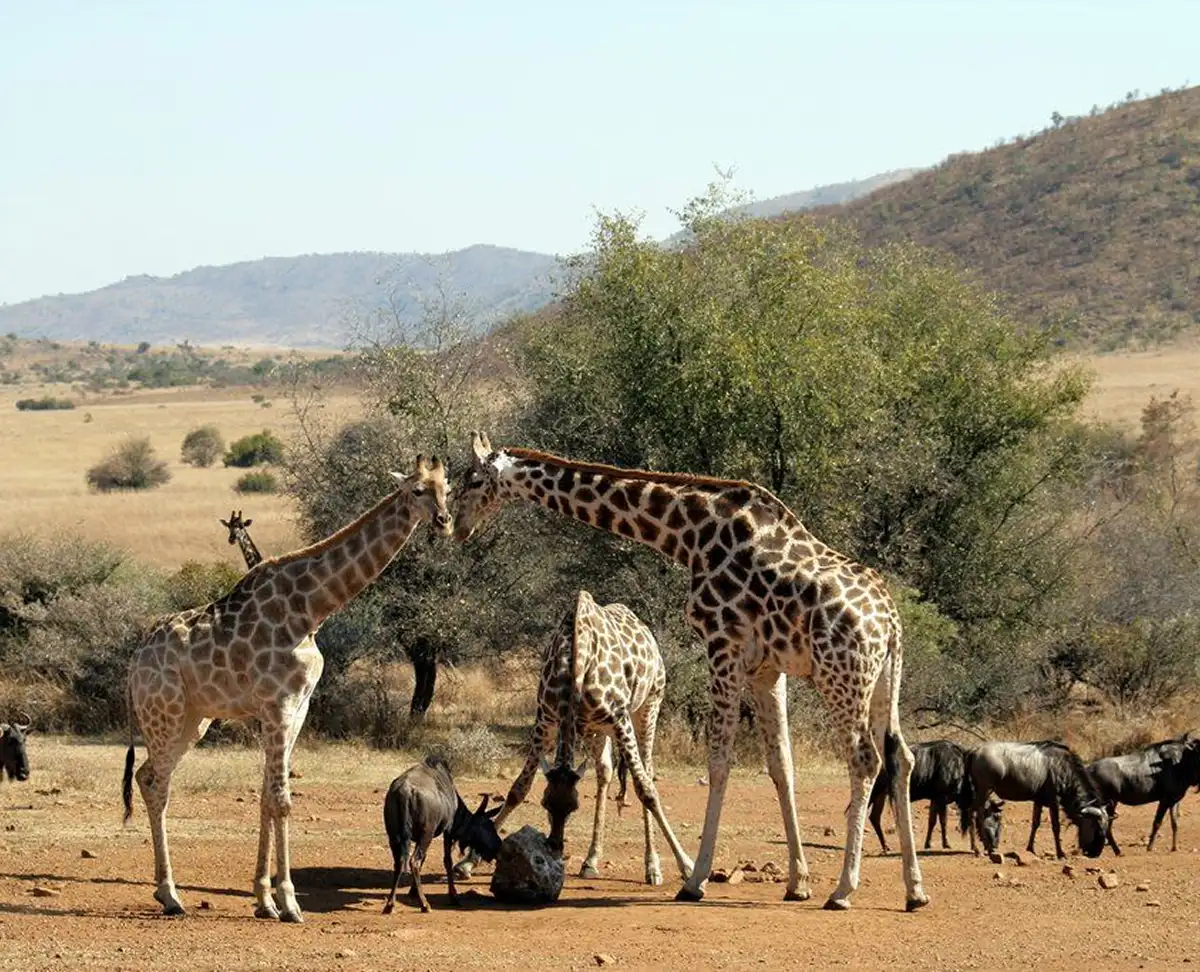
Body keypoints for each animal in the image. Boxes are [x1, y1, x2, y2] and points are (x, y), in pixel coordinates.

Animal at [123, 456, 452, 922]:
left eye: (448, 488)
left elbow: (265, 797)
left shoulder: (298, 708)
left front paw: (264, 900)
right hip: (164, 714)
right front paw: (291, 902)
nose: (444, 521)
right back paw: (170, 895)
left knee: (147, 776)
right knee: (155, 783)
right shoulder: (277, 705)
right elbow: (282, 800)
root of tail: (135, 660)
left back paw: (165, 892)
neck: (311, 610)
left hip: (194, 719)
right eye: (416, 491)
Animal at [455, 590, 693, 886]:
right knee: (605, 771)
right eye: (545, 802)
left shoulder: (620, 718)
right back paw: (591, 861)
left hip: (648, 706)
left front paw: (686, 866)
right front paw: (467, 863)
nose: (556, 845)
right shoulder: (545, 721)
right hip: (594, 728)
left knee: (647, 771)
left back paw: (652, 867)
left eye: (575, 806)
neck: (575, 663)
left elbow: (646, 790)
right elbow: (518, 789)